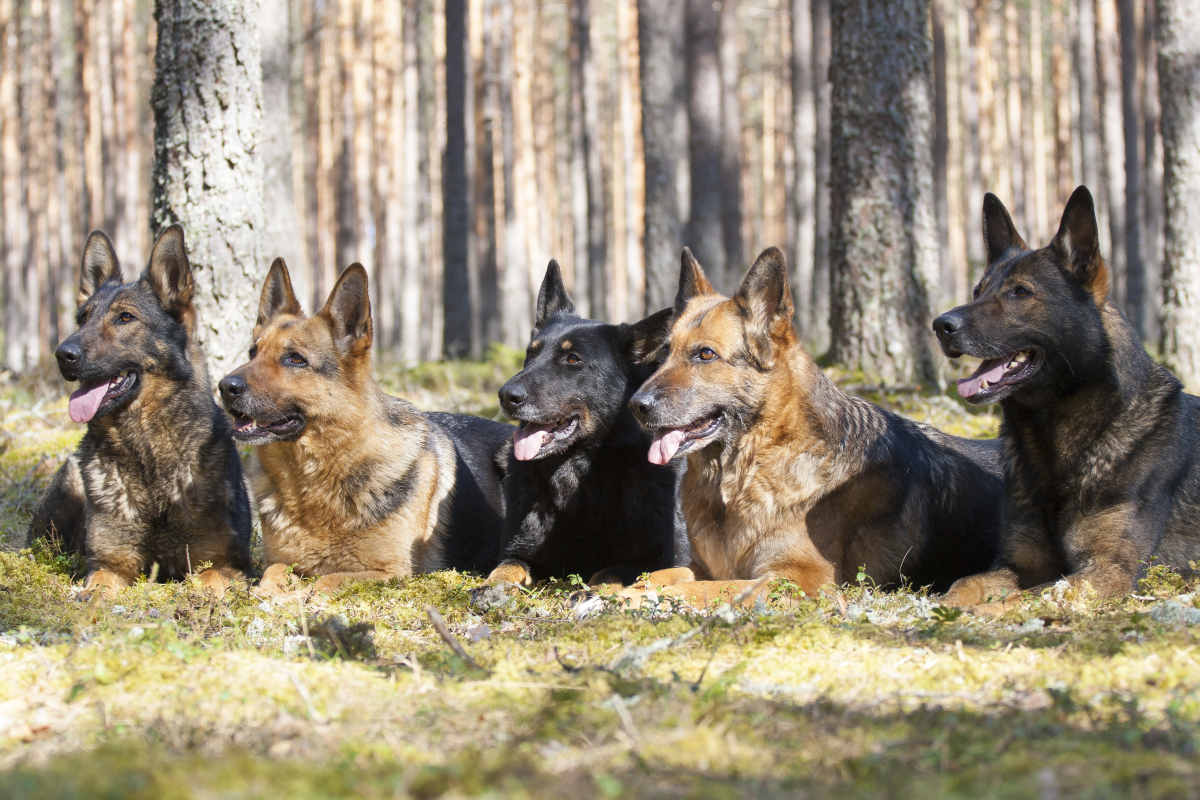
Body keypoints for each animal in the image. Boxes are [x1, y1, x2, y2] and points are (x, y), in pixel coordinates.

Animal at [25, 225, 252, 594]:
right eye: (83, 319)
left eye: (125, 317)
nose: (62, 354)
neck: (146, 450)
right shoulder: (109, 565)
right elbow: (97, 589)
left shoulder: (226, 563)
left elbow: (207, 581)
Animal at [220, 260, 511, 597]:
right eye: (253, 353)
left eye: (295, 359)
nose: (225, 387)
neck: (316, 479)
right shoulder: (280, 562)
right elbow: (272, 574)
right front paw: (270, 594)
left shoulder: (390, 572)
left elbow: (327, 580)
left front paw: (300, 596)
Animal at [482, 262, 691, 587]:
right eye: (531, 354)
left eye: (572, 359)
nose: (506, 396)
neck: (578, 471)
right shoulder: (518, 552)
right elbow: (505, 569)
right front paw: (492, 589)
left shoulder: (663, 560)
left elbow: (609, 570)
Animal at [619, 247, 1003, 604]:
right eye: (664, 352)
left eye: (706, 355)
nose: (636, 406)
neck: (752, 467)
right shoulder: (702, 566)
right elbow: (661, 574)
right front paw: (621, 588)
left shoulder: (799, 577)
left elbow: (710, 590)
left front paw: (633, 598)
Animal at [931, 188, 1200, 614]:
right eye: (977, 291)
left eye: (1021, 292)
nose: (941, 326)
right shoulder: (1018, 563)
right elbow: (966, 582)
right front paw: (945, 606)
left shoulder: (1106, 570)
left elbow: (1029, 597)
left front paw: (984, 612)